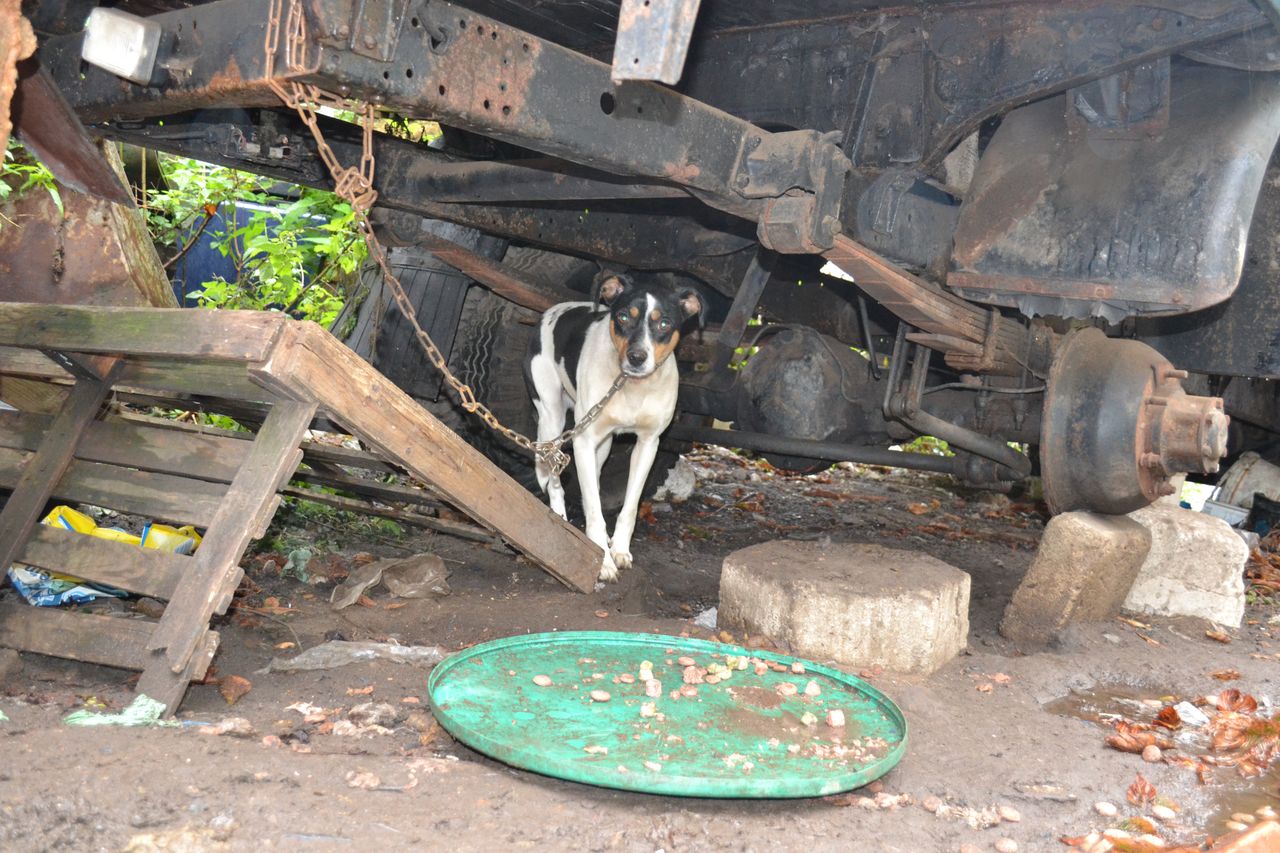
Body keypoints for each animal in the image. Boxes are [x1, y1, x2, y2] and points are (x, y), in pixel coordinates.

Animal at [524, 272, 706, 578]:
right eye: (622, 317)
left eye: (664, 323)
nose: (637, 357)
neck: (630, 386)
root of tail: (548, 313)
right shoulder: (583, 440)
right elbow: (595, 510)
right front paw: (603, 560)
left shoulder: (648, 444)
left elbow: (629, 507)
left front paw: (619, 549)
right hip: (553, 419)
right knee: (556, 480)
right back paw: (560, 516)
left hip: (603, 443)